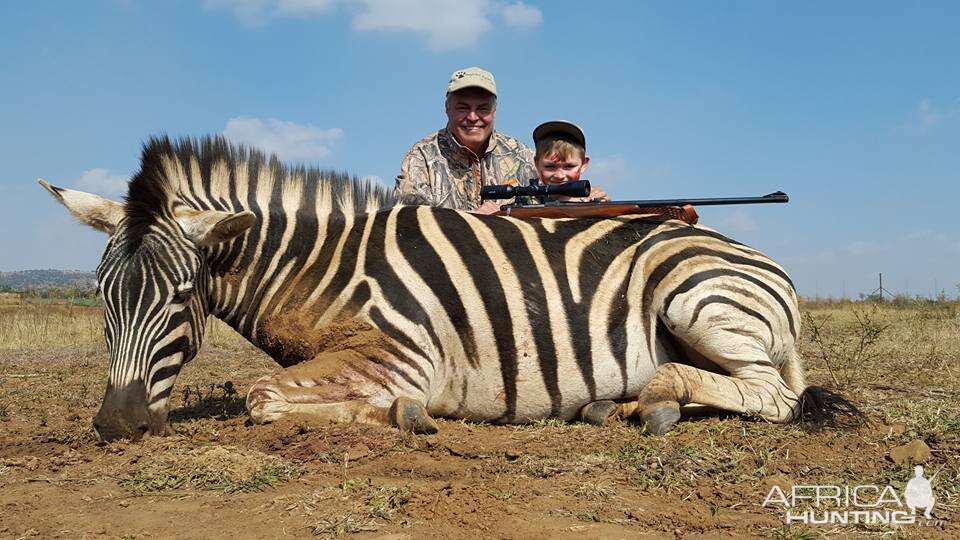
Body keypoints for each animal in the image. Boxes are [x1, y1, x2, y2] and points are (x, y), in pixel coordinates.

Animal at [41, 136, 860, 442]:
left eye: (182, 297)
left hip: (695, 299)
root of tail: (755, 259)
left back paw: (652, 400)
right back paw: (616, 404)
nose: (115, 424)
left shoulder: (403, 354)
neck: (324, 267)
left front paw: (407, 414)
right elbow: (266, 392)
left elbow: (261, 396)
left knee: (774, 396)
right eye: (102, 297)